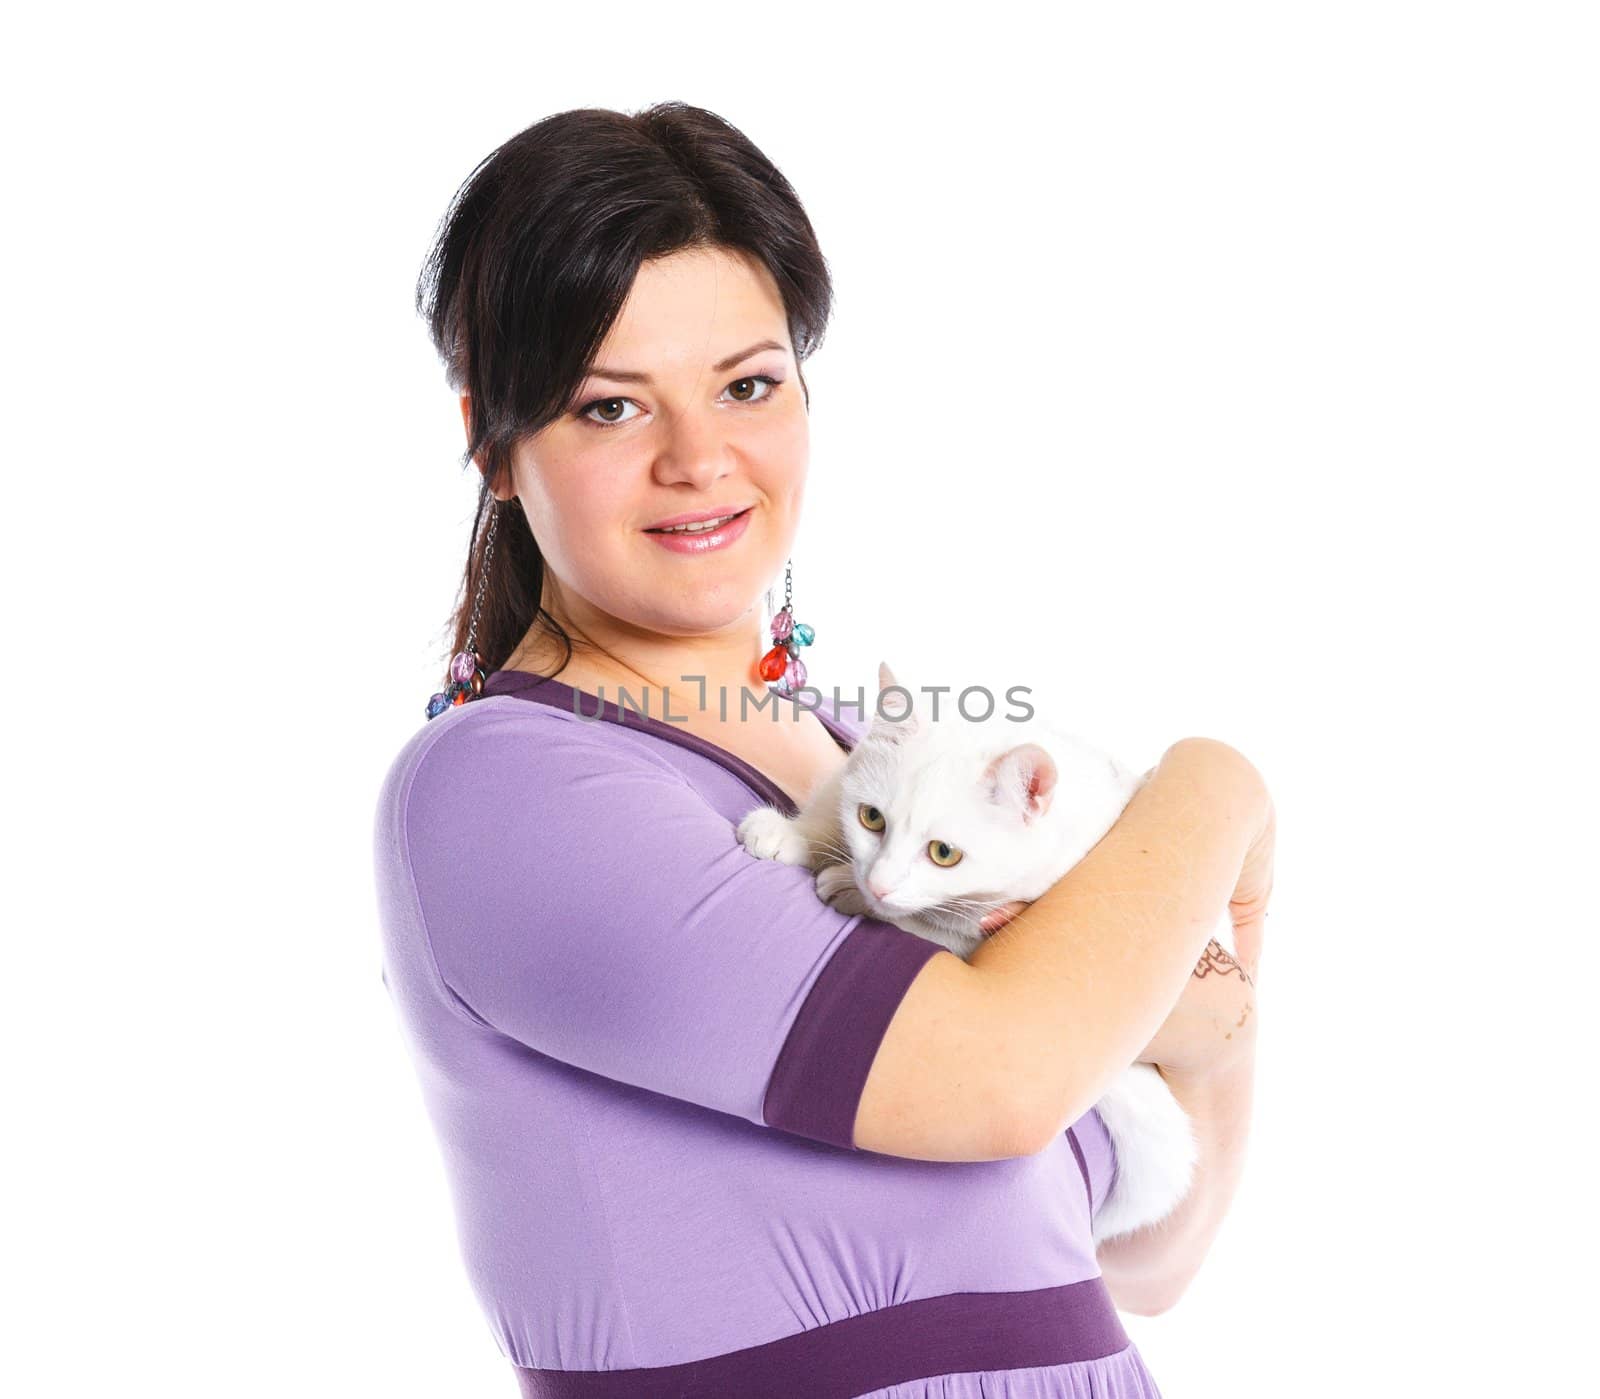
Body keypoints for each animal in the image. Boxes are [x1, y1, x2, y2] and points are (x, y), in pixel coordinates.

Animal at [739, 659, 1222, 1235]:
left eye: (943, 853)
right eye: (871, 819)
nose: (878, 884)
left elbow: (940, 926)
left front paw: (852, 891)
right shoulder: (844, 786)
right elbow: (829, 802)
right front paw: (790, 834)